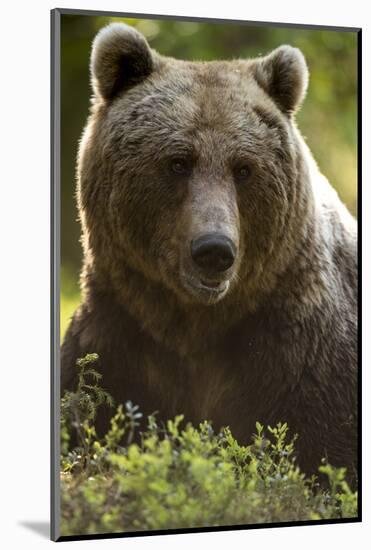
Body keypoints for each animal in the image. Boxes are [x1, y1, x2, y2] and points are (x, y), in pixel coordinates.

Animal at [61, 20, 358, 478]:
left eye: (244, 168)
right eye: (178, 162)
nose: (214, 250)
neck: (195, 326)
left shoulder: (303, 356)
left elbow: (322, 452)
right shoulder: (118, 339)